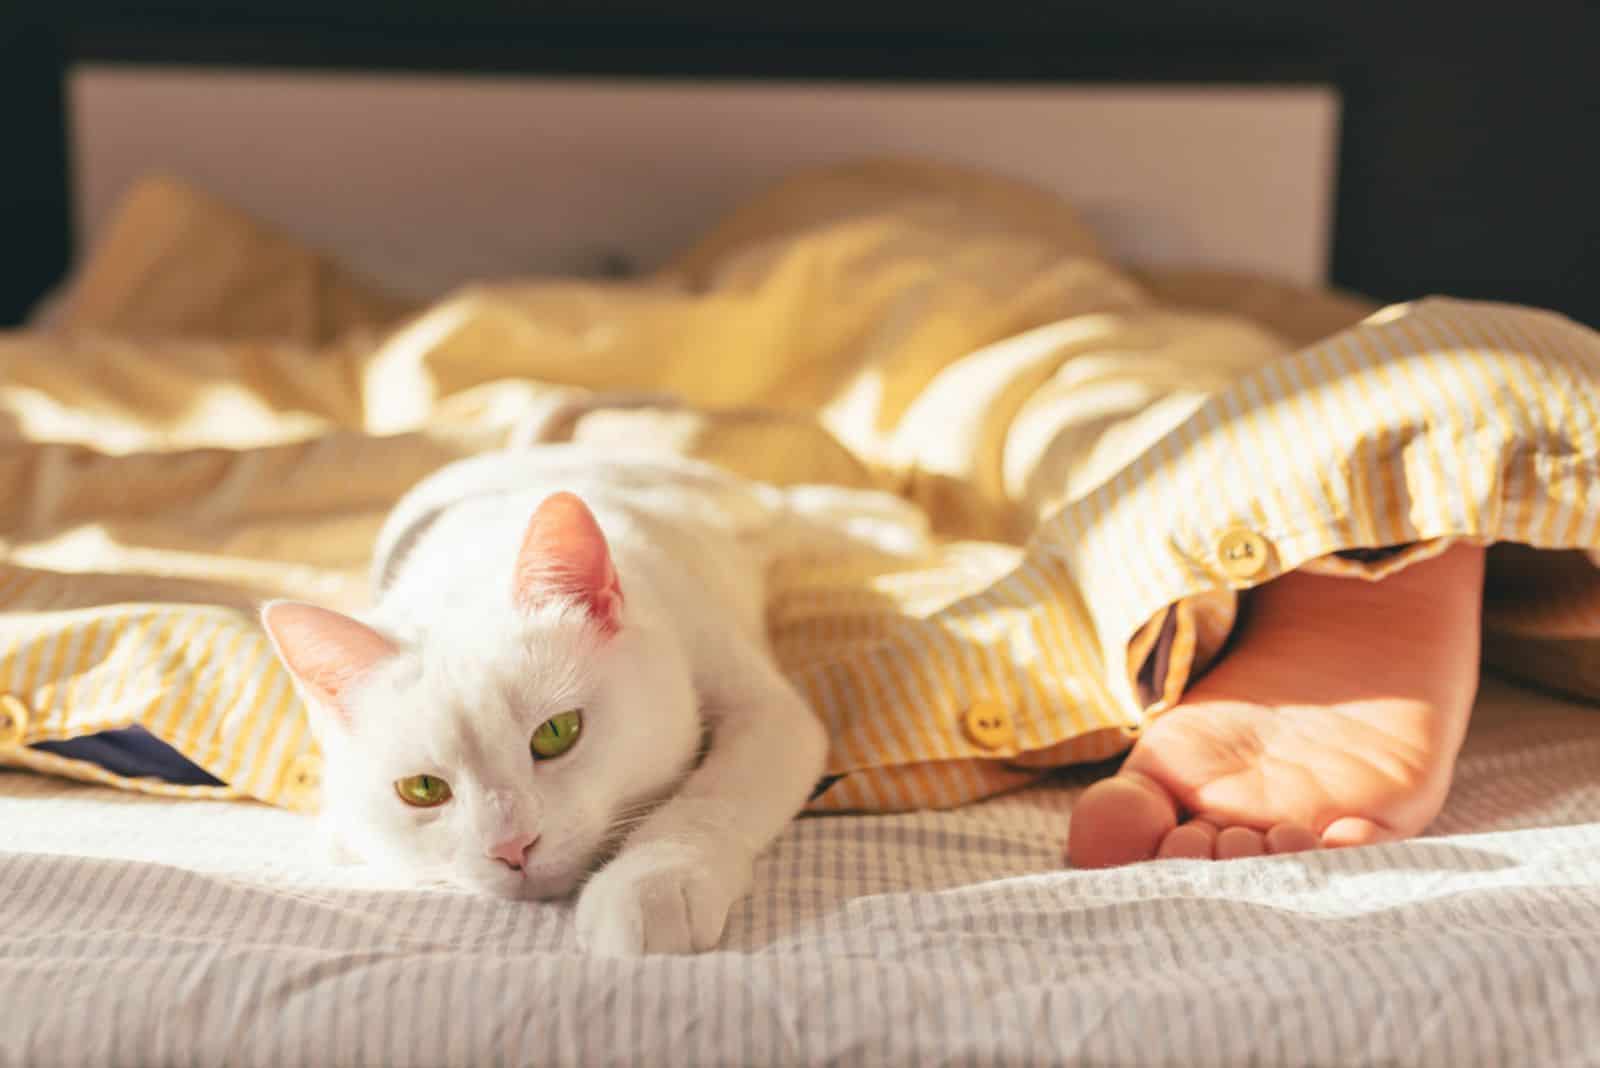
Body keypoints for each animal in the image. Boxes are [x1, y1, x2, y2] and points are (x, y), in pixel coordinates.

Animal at [262, 447, 928, 952]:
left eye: (556, 733)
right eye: (423, 790)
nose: (511, 847)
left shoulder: (765, 710)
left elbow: (709, 798)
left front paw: (650, 884)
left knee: (796, 511)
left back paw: (886, 520)